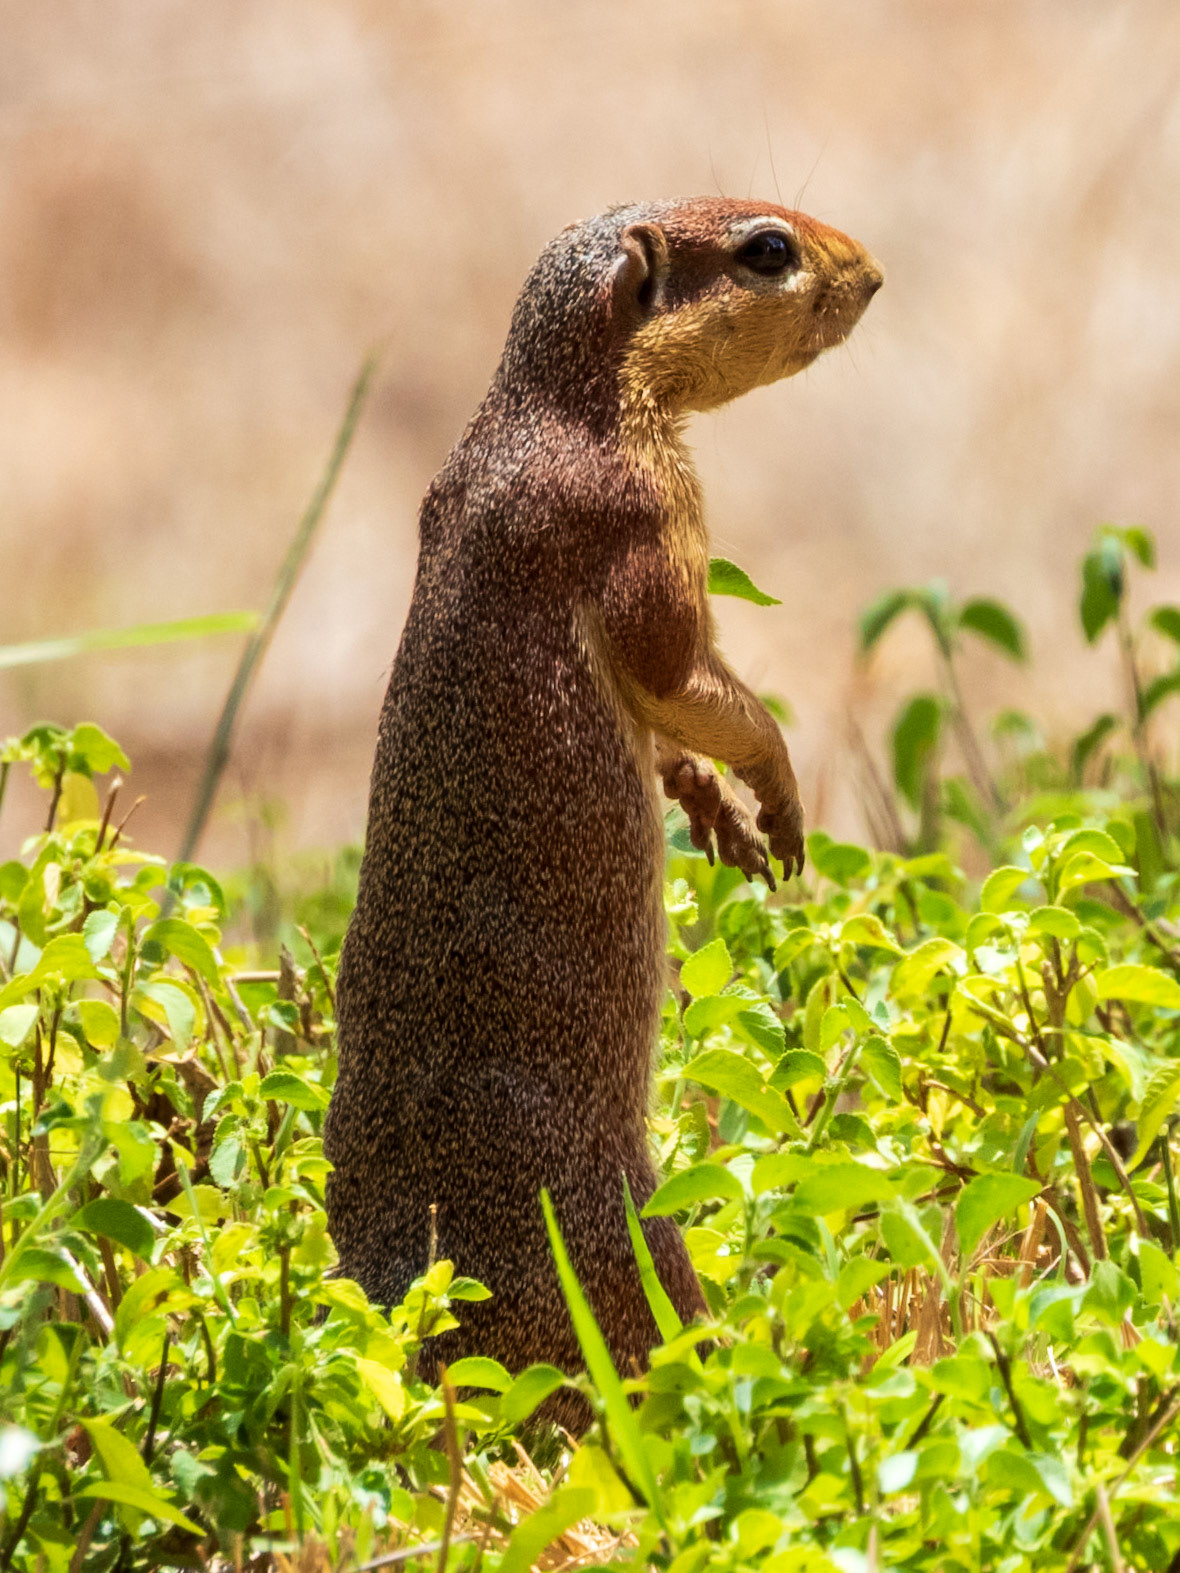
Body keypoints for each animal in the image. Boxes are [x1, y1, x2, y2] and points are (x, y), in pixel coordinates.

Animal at [324, 198, 881, 1427]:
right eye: (768, 249)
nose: (872, 274)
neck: (545, 412)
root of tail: (395, 1296)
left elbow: (676, 717)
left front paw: (714, 811)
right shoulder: (639, 520)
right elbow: (685, 671)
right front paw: (776, 804)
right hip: (631, 1231)